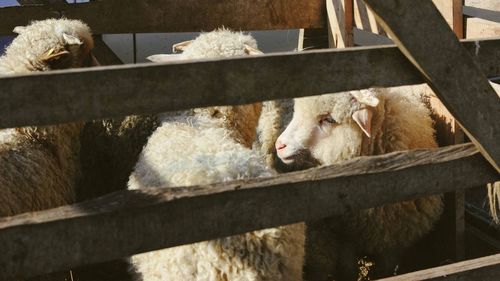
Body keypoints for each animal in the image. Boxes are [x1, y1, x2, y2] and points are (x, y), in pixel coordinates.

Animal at [276, 86, 444, 278]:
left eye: (328, 119)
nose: (279, 145)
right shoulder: (345, 237)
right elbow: (348, 270)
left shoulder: (395, 238)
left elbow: (385, 269)